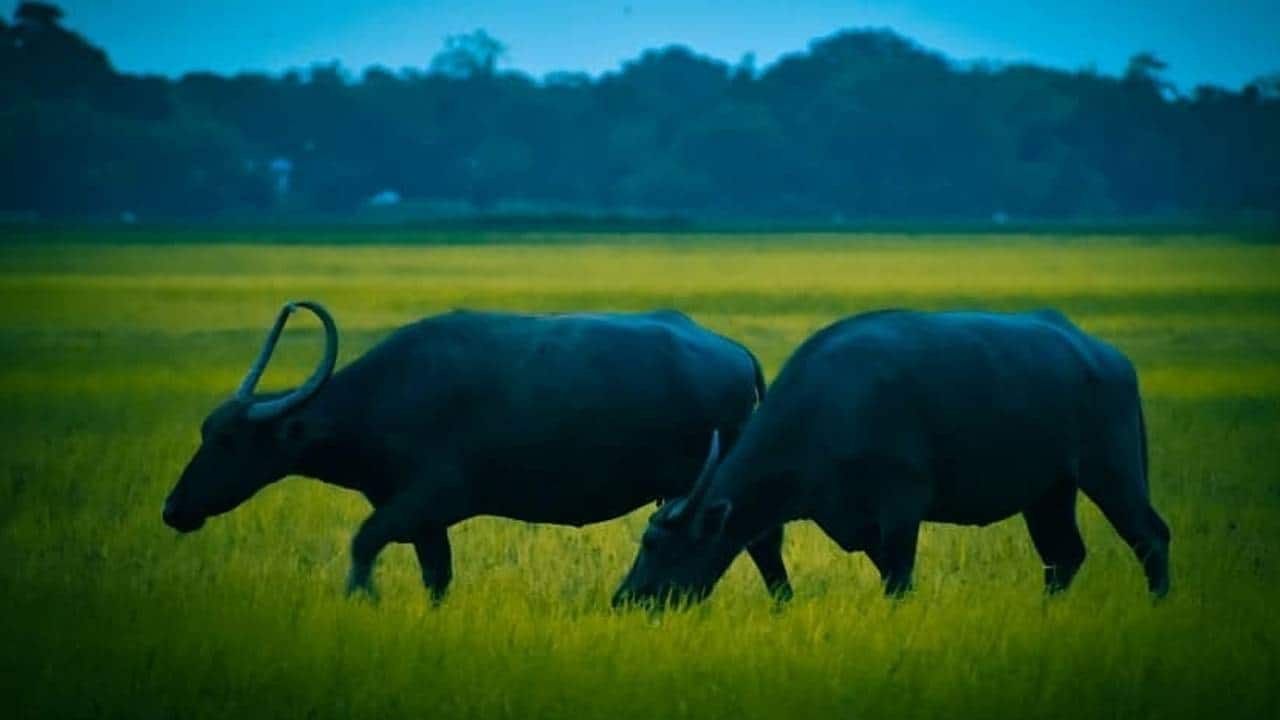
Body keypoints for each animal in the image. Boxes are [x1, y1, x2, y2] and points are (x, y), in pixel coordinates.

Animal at [163, 301, 792, 602]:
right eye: (205, 431)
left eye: (229, 440)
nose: (174, 509)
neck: (385, 397)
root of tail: (735, 352)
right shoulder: (423, 521)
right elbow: (436, 577)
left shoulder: (425, 500)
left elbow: (363, 542)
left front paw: (361, 599)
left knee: (759, 543)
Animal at [614, 309, 1170, 606]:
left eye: (658, 546)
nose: (626, 598)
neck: (826, 412)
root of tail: (1108, 356)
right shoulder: (857, 524)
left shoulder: (902, 506)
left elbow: (899, 582)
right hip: (1049, 490)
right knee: (1064, 555)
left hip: (1111, 468)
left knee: (1150, 535)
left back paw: (1158, 602)